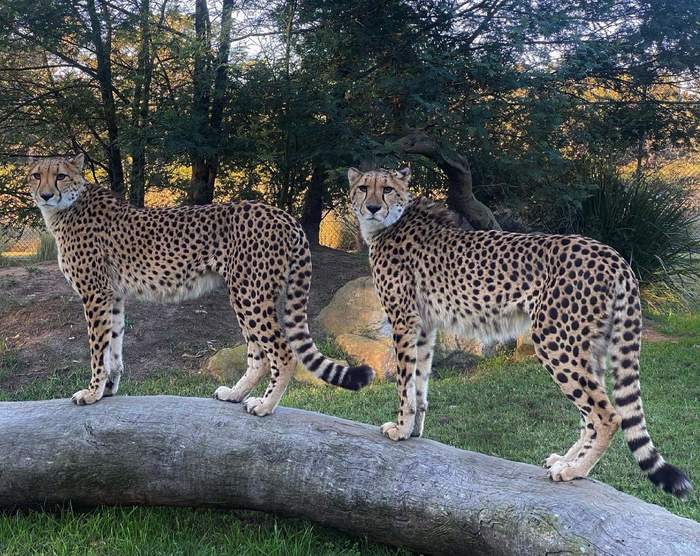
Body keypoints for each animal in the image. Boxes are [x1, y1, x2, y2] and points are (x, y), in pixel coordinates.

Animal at [26, 155, 372, 412]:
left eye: (60, 176)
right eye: (35, 175)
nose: (45, 194)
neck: (67, 208)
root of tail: (282, 215)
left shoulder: (95, 293)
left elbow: (98, 350)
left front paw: (92, 393)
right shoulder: (113, 296)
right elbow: (114, 347)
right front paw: (108, 389)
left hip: (248, 293)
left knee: (283, 352)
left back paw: (264, 405)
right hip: (252, 295)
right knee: (259, 354)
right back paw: (235, 394)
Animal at [350, 165, 696, 496]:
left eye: (387, 189)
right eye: (363, 187)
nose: (372, 207)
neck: (390, 223)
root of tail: (611, 254)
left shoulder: (403, 319)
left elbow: (403, 383)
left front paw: (400, 429)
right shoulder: (424, 325)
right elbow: (419, 383)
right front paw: (414, 430)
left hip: (554, 340)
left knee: (606, 415)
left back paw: (575, 471)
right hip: (587, 346)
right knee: (590, 415)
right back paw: (566, 461)